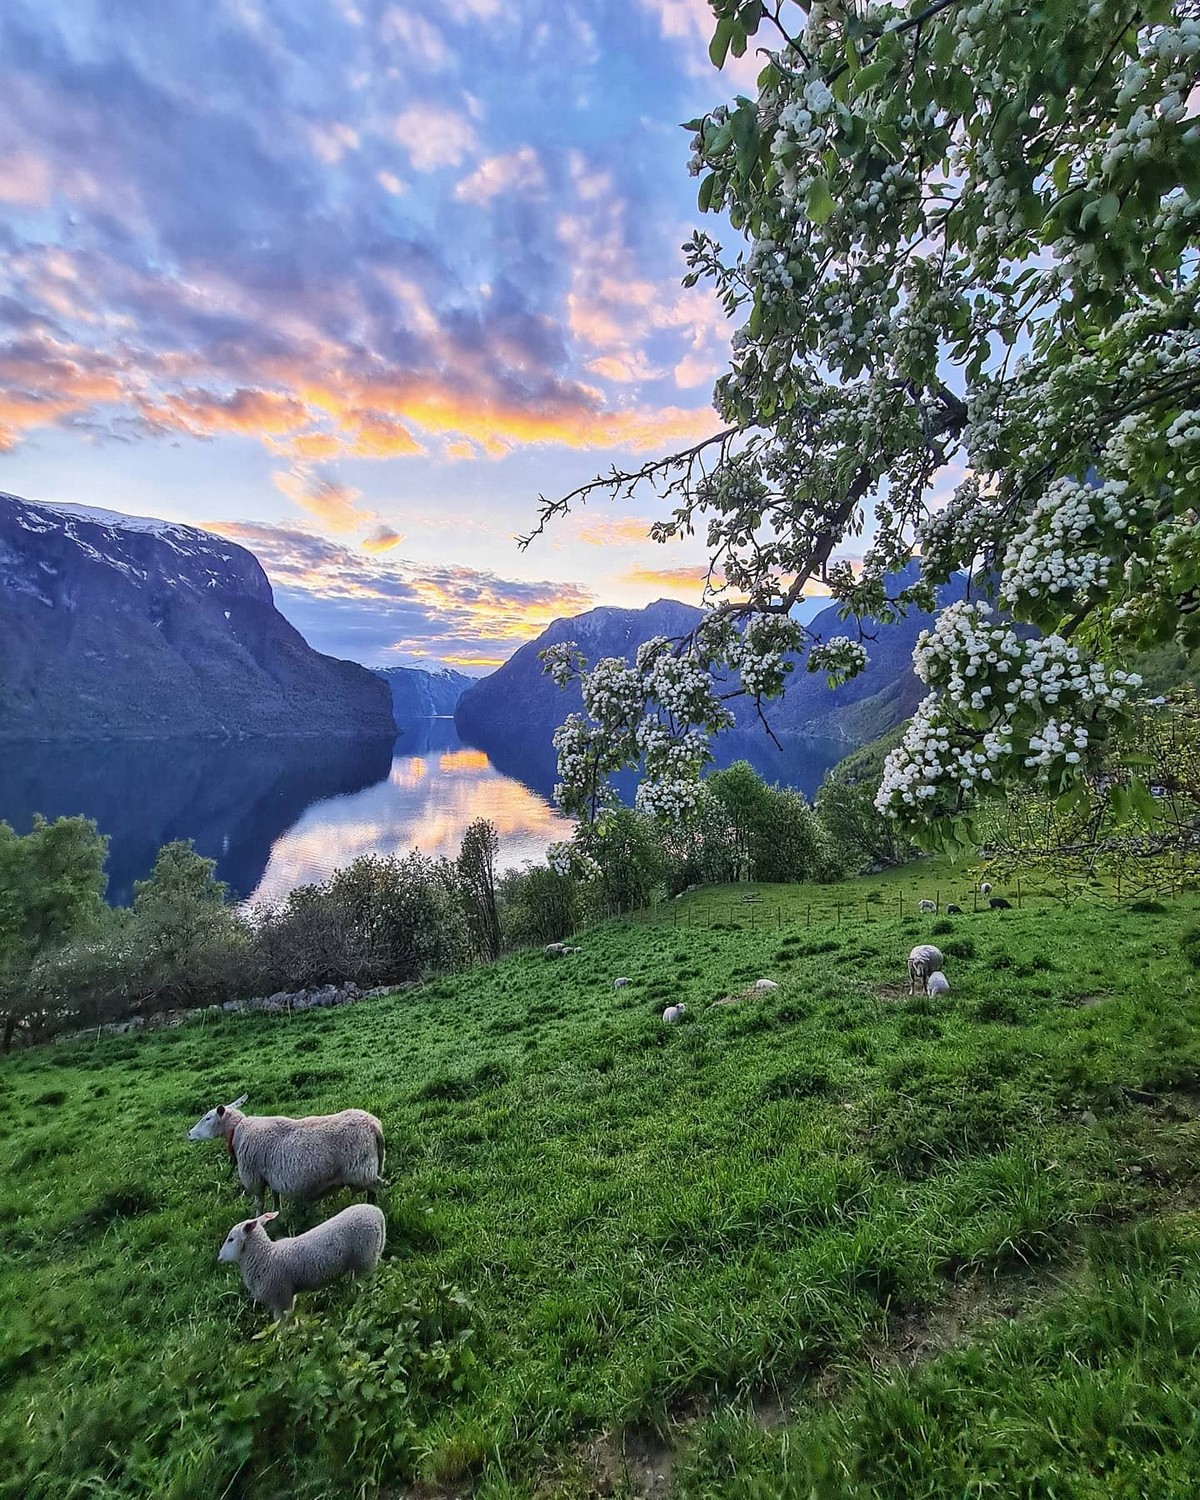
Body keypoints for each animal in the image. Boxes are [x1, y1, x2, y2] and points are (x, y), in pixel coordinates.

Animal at [189, 1104, 384, 1218]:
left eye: (207, 1118)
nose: (189, 1134)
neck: (238, 1131)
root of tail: (373, 1126)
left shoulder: (254, 1178)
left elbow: (259, 1203)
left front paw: (257, 1219)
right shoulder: (269, 1176)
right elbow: (275, 1196)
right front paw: (277, 1212)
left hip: (361, 1170)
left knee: (377, 1188)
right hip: (371, 1167)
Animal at [216, 1200, 384, 1320]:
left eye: (231, 1239)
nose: (219, 1257)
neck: (265, 1256)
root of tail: (377, 1213)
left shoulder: (281, 1297)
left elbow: (282, 1325)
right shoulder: (288, 1296)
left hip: (365, 1260)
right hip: (372, 1254)